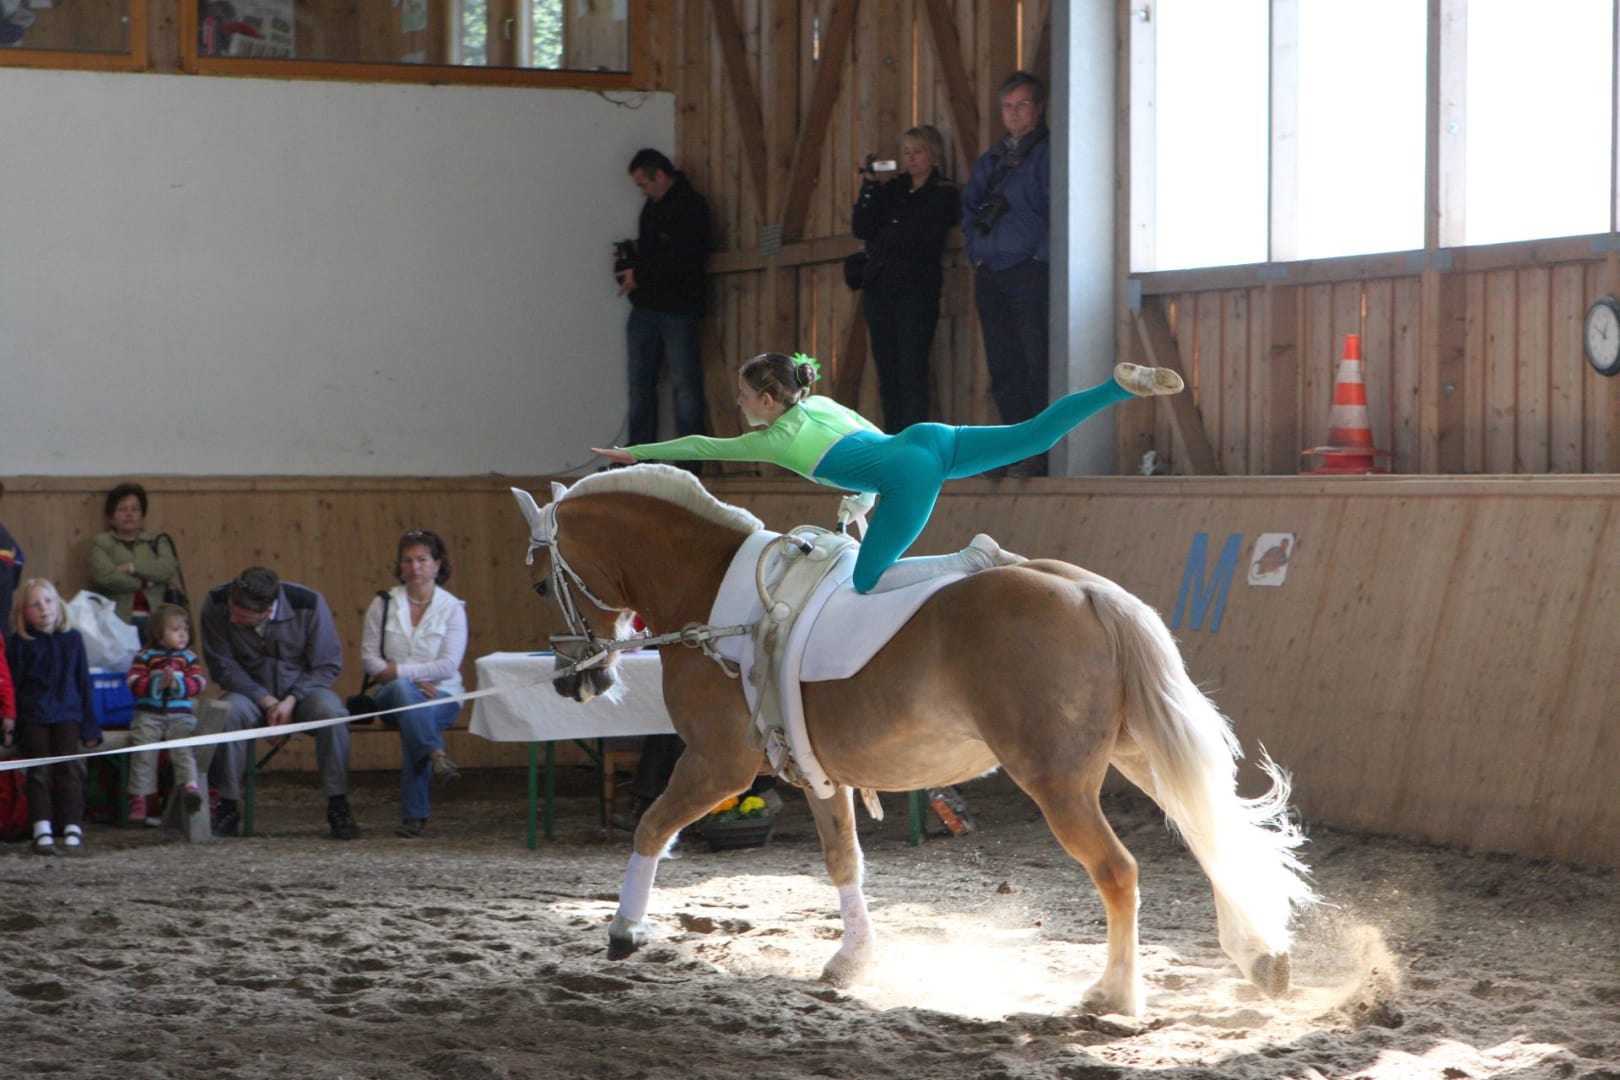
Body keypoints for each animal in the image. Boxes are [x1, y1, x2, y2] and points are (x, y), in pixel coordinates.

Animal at [512, 465, 1315, 1016]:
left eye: (540, 582)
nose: (574, 684)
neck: (715, 598)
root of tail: (1088, 591)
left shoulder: (719, 764)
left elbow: (650, 827)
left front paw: (624, 930)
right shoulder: (816, 772)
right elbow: (844, 861)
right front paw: (853, 961)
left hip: (1057, 781)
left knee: (1119, 871)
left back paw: (1115, 993)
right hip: (1135, 753)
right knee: (1210, 835)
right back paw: (1261, 959)